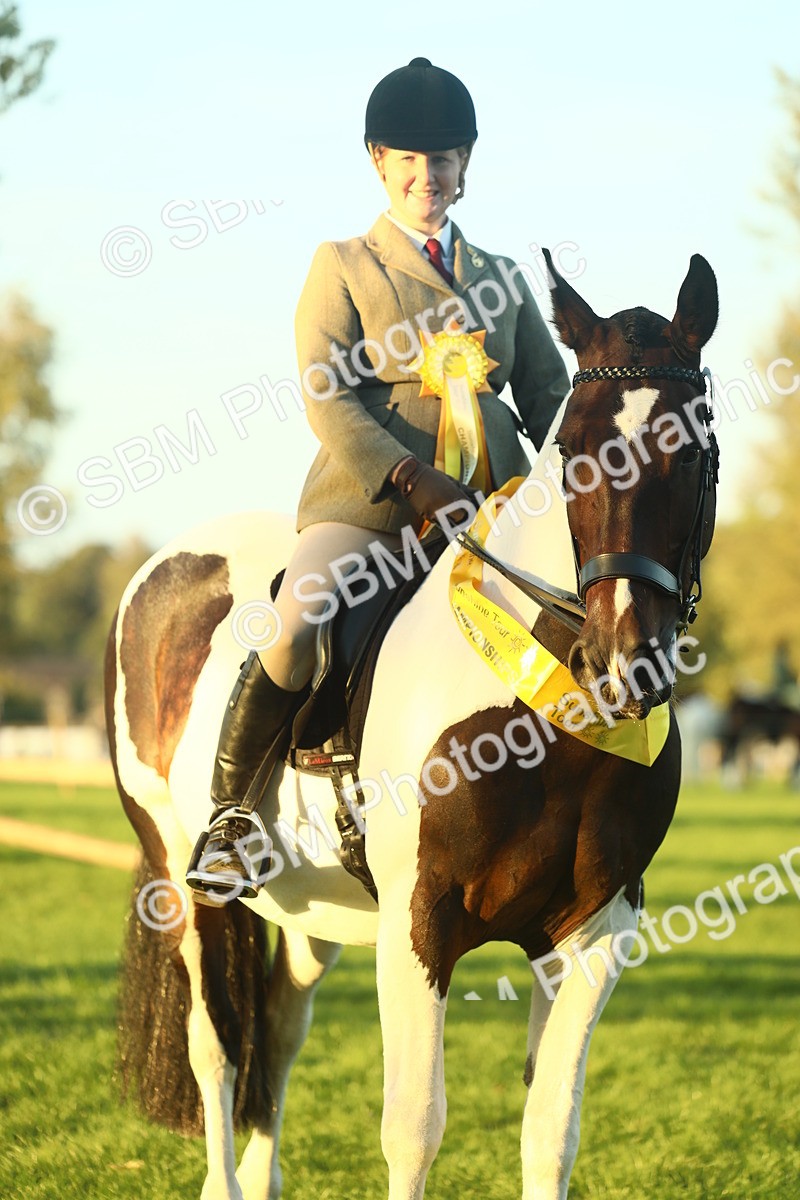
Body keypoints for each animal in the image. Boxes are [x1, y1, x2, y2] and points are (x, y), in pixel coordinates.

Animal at [105, 249, 719, 1200]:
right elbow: (415, 1128)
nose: (624, 660)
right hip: (179, 871)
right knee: (219, 1049)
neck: (547, 723)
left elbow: (552, 1131)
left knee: (278, 1030)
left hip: (318, 909)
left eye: (690, 448)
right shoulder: (419, 921)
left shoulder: (595, 932)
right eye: (572, 453)